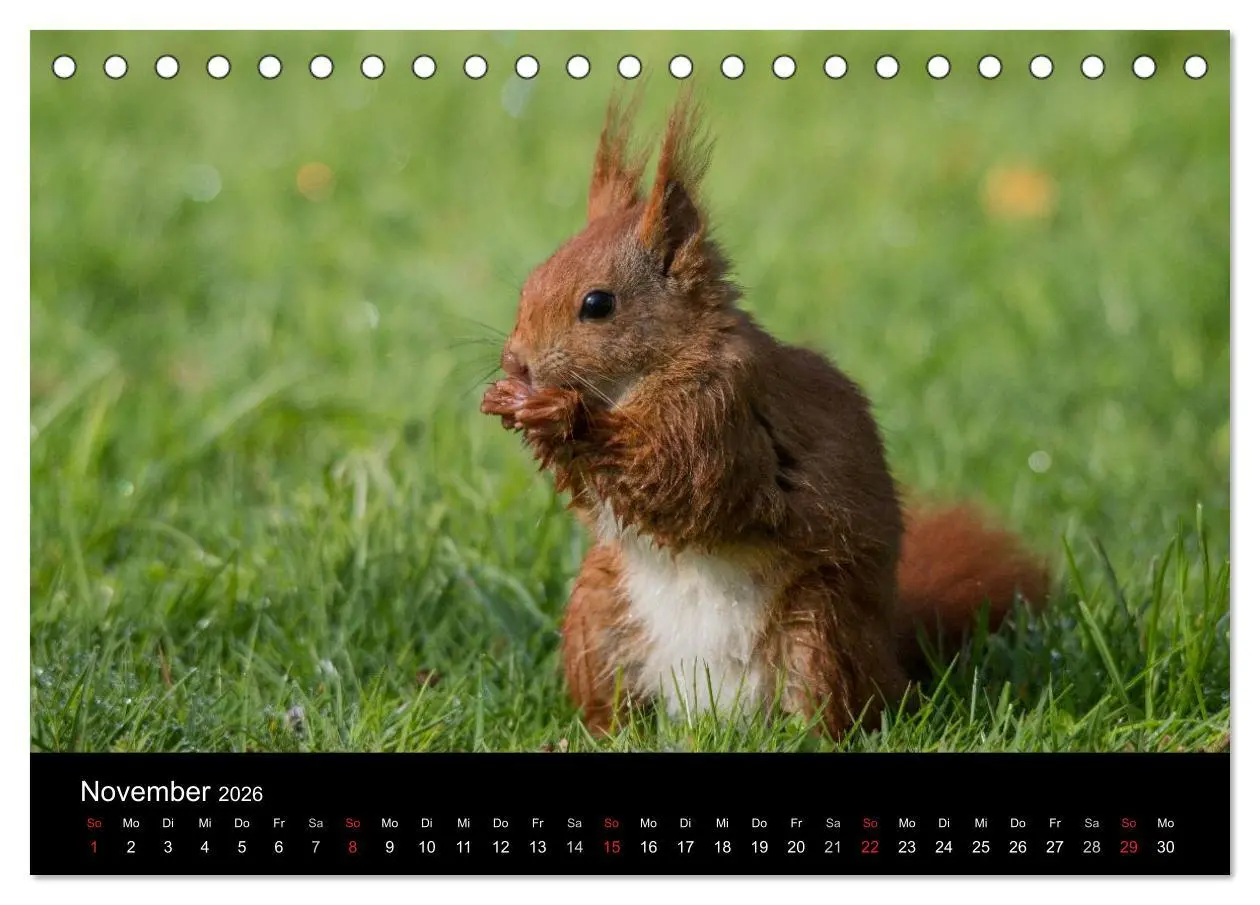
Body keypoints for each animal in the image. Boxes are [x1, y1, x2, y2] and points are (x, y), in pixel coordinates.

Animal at [480, 94, 1049, 738]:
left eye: (597, 304)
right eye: (530, 281)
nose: (515, 362)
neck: (645, 375)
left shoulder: (723, 413)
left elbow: (681, 480)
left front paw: (559, 415)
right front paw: (514, 405)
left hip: (820, 631)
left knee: (839, 712)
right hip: (596, 617)